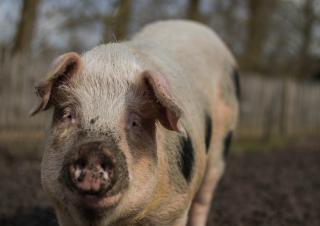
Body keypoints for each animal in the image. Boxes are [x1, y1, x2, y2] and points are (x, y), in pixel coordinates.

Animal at [31, 19, 239, 226]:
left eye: (135, 122)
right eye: (68, 114)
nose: (94, 150)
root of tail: (190, 23)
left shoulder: (174, 208)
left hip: (220, 146)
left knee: (203, 199)